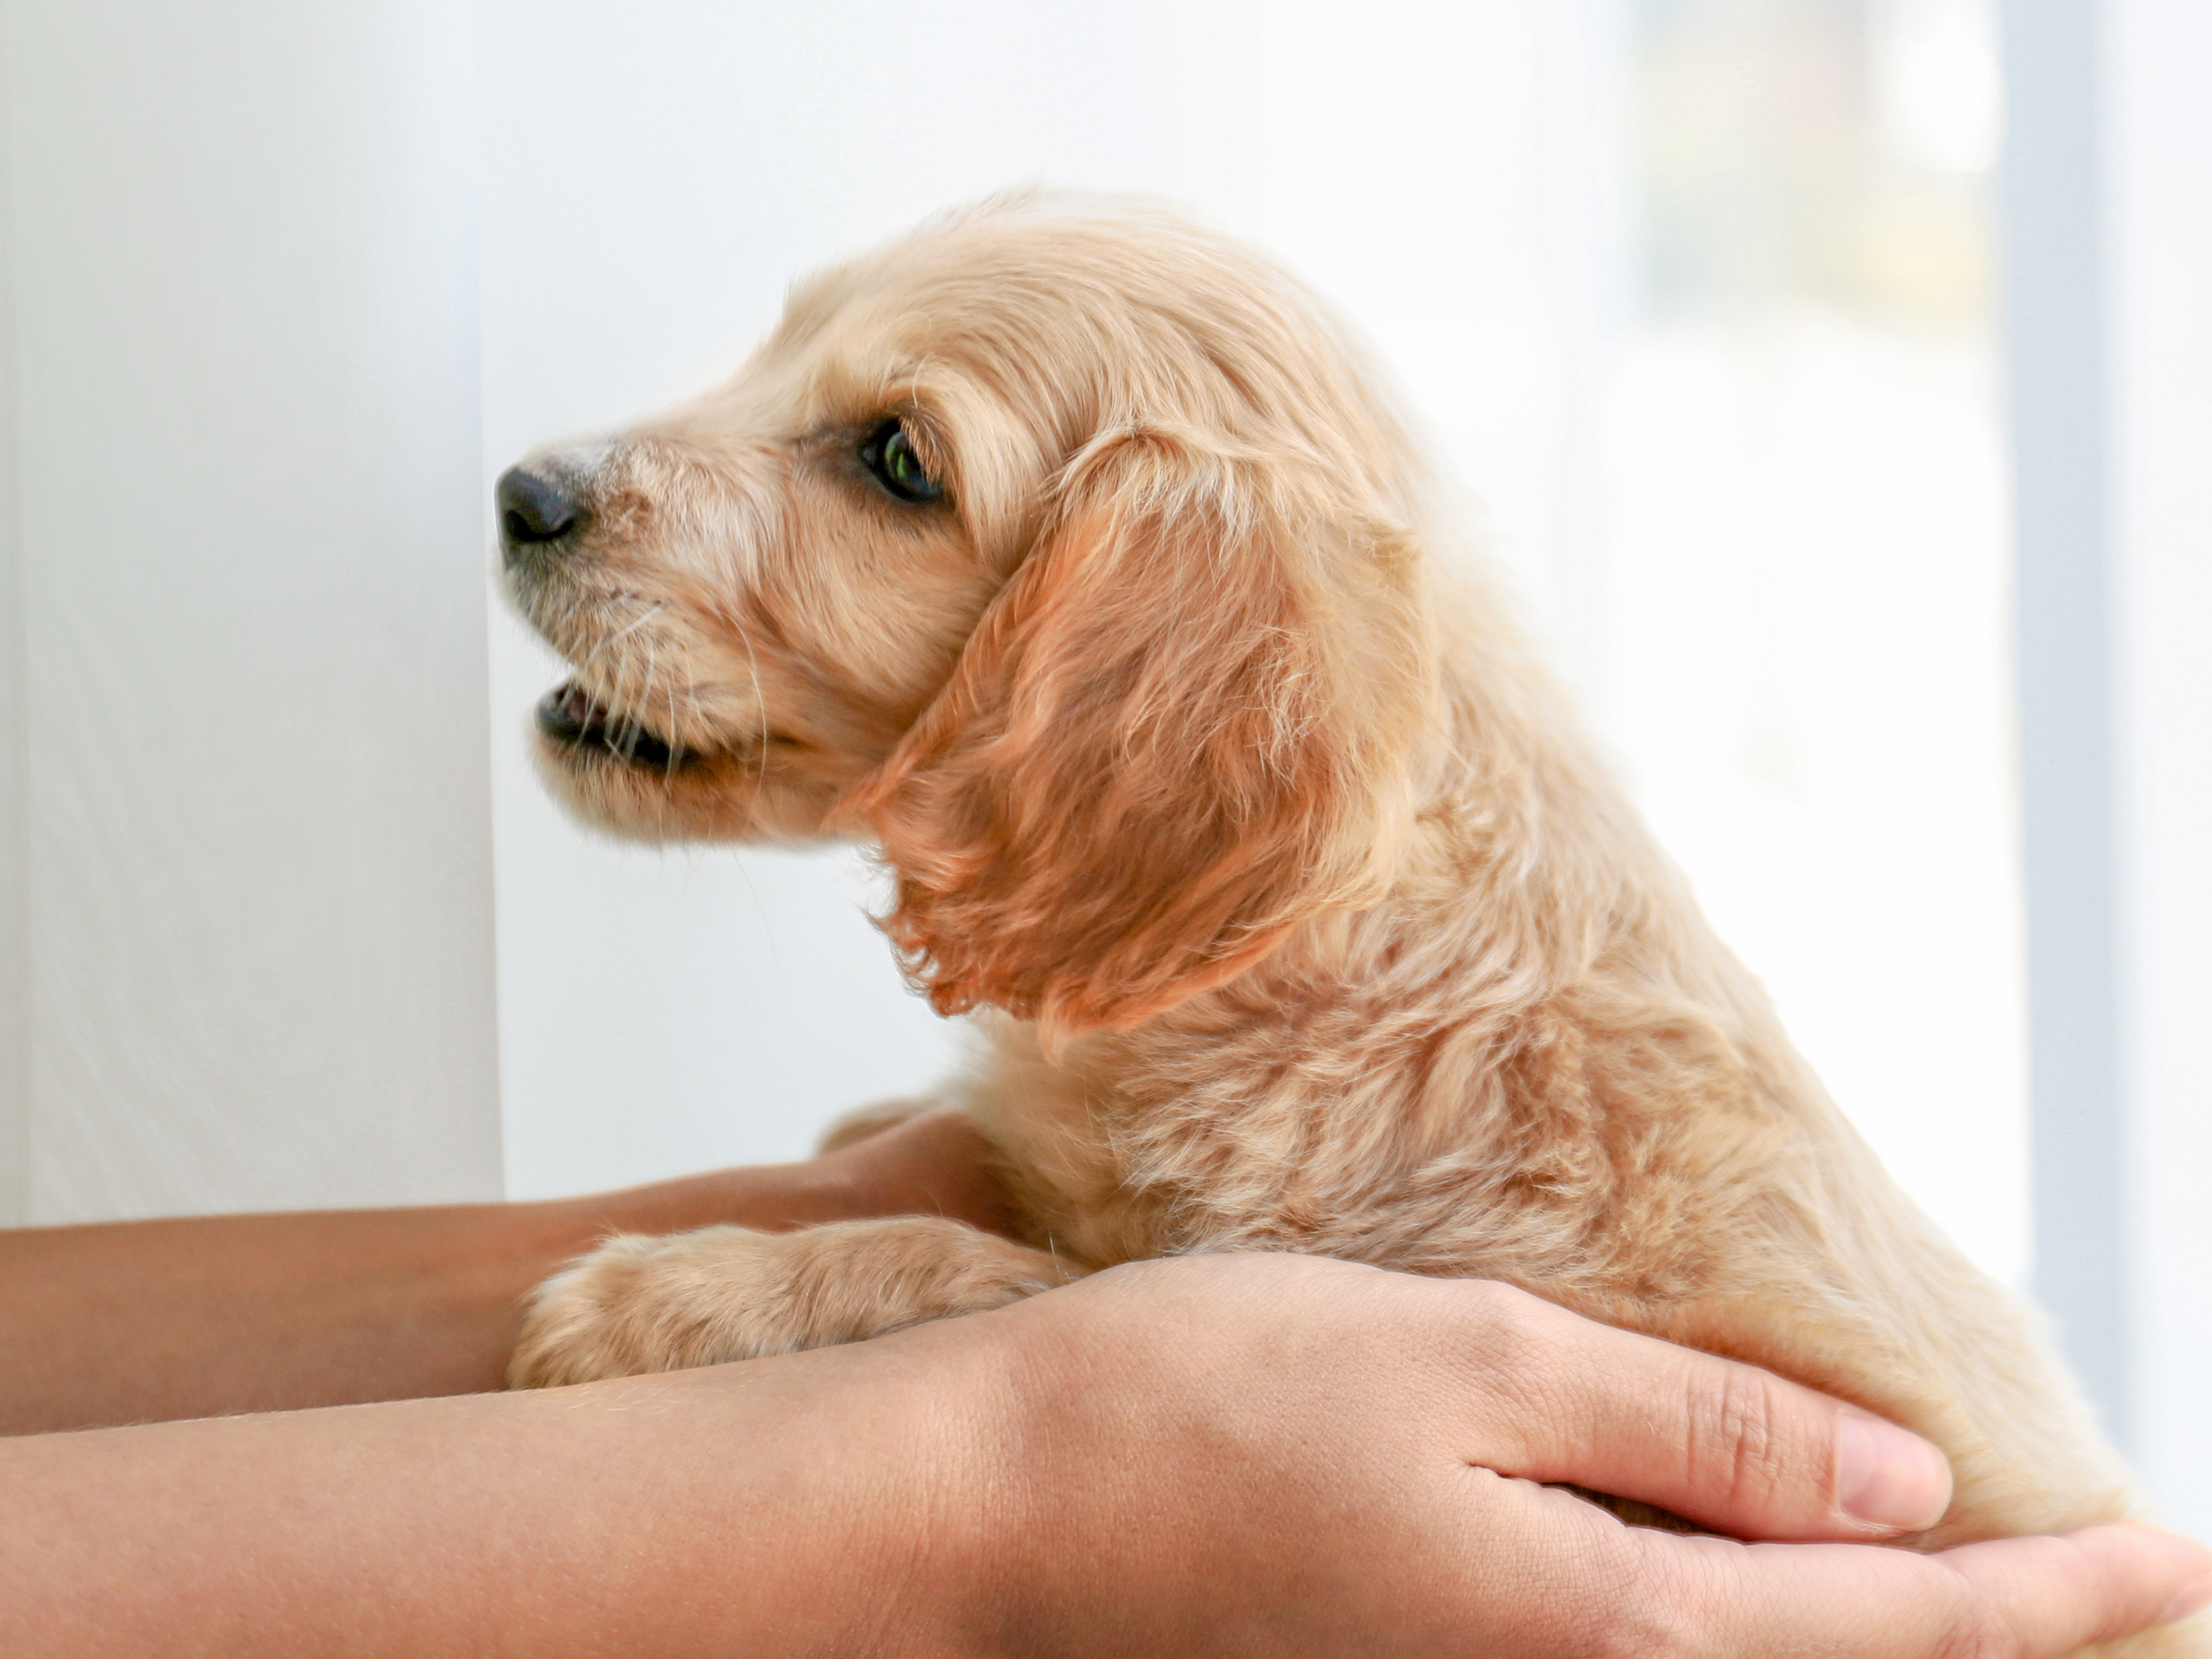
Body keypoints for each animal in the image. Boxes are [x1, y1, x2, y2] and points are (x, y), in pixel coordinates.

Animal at [498, 198, 2176, 1654]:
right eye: (777, 345)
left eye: (899, 458)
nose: (521, 496)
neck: (1346, 958)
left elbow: (986, 1275)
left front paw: (674, 1299)